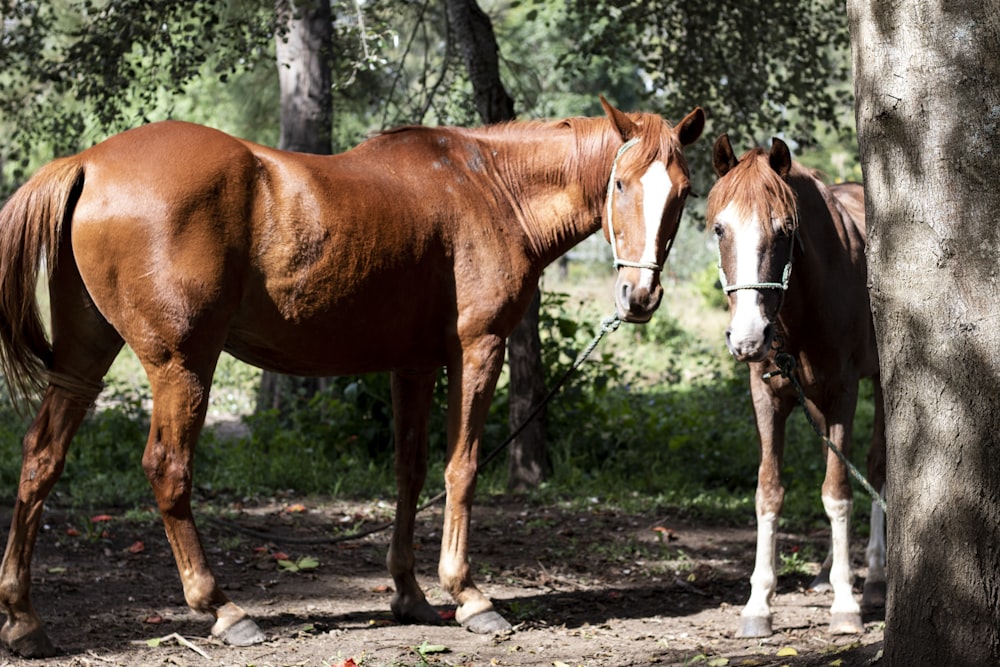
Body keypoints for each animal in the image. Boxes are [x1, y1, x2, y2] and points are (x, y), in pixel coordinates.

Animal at [0, 99, 708, 656]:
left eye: (682, 192)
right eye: (621, 185)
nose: (640, 296)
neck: (489, 186)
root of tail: (90, 162)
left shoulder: (414, 364)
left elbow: (410, 470)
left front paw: (410, 594)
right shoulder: (479, 350)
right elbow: (462, 469)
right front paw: (469, 594)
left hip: (83, 361)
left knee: (40, 460)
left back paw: (23, 618)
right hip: (182, 365)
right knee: (168, 470)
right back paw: (223, 609)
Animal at [708, 134, 888, 636]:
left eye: (785, 228)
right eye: (719, 229)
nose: (748, 336)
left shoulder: (844, 392)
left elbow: (839, 492)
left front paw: (846, 604)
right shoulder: (767, 397)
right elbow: (769, 492)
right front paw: (758, 604)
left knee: (874, 468)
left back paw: (874, 578)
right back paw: (826, 573)